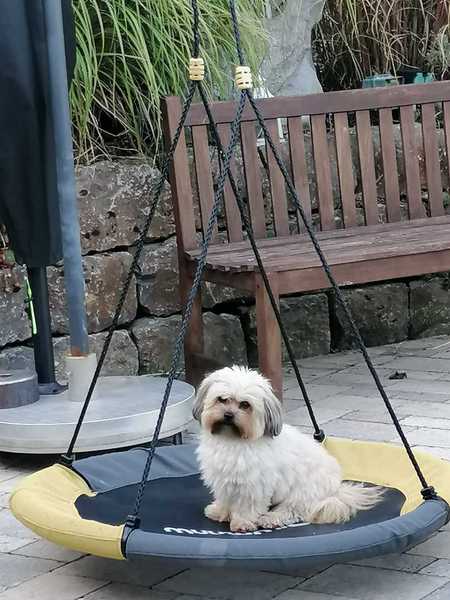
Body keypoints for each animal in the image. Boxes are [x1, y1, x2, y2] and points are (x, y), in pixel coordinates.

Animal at [193, 366, 383, 533]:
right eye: (221, 399)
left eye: (245, 405)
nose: (228, 415)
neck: (233, 440)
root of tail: (336, 490)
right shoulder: (223, 480)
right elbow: (225, 498)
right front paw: (220, 511)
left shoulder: (254, 486)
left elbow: (248, 506)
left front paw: (242, 522)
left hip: (301, 493)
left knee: (291, 511)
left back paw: (270, 519)